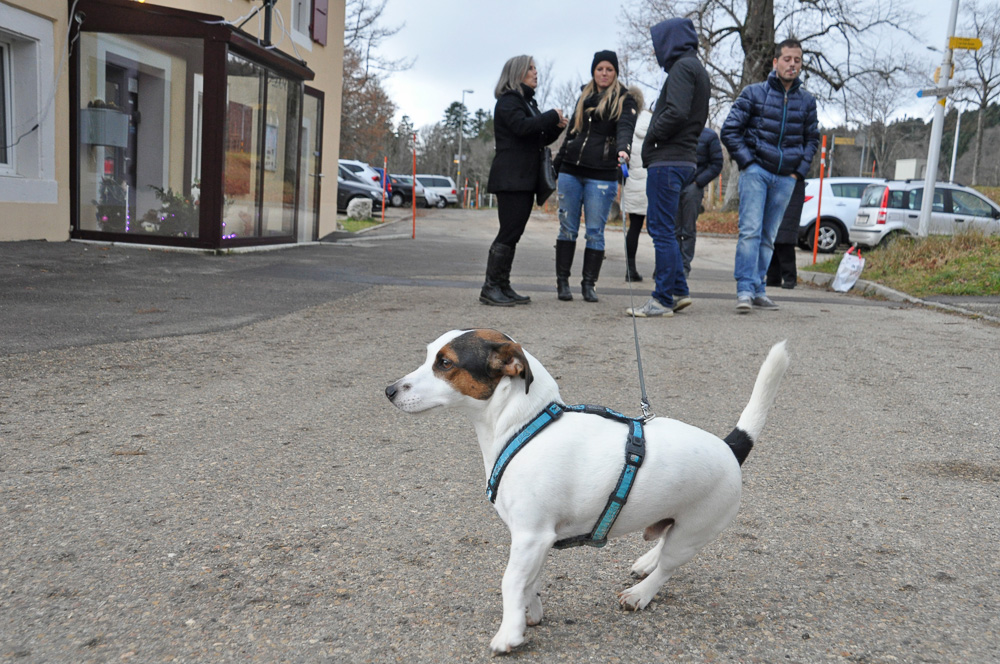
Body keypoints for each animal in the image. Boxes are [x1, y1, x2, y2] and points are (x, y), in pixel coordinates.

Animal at [385, 329, 790, 654]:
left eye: (444, 363)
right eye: (429, 354)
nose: (388, 390)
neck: (525, 424)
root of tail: (730, 447)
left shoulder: (531, 535)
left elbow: (511, 580)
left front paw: (509, 632)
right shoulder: (535, 539)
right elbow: (528, 581)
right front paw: (529, 613)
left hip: (692, 532)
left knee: (668, 567)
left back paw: (642, 592)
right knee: (662, 543)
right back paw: (647, 561)